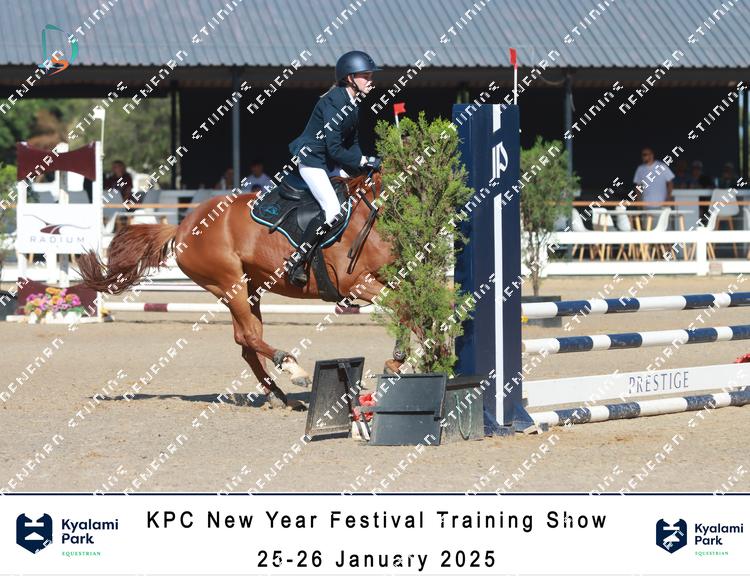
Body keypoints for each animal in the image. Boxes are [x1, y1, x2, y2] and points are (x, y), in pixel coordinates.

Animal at [77, 172, 396, 410]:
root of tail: (182, 227)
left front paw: (398, 361)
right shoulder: (356, 282)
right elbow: (401, 311)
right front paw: (398, 362)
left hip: (249, 287)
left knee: (247, 342)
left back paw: (278, 395)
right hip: (230, 284)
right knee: (248, 337)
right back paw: (293, 369)